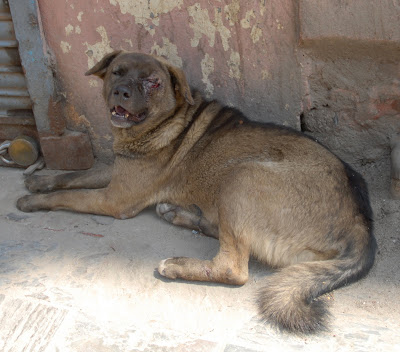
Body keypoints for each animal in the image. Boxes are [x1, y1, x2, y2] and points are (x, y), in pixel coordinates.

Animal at [17, 51, 376, 334]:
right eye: (118, 72)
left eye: (153, 82)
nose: (120, 91)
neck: (165, 122)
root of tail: (360, 223)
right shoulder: (118, 173)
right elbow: (76, 176)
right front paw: (40, 181)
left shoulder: (115, 199)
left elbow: (68, 197)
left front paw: (34, 200)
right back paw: (180, 214)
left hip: (241, 176)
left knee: (233, 268)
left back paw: (177, 264)